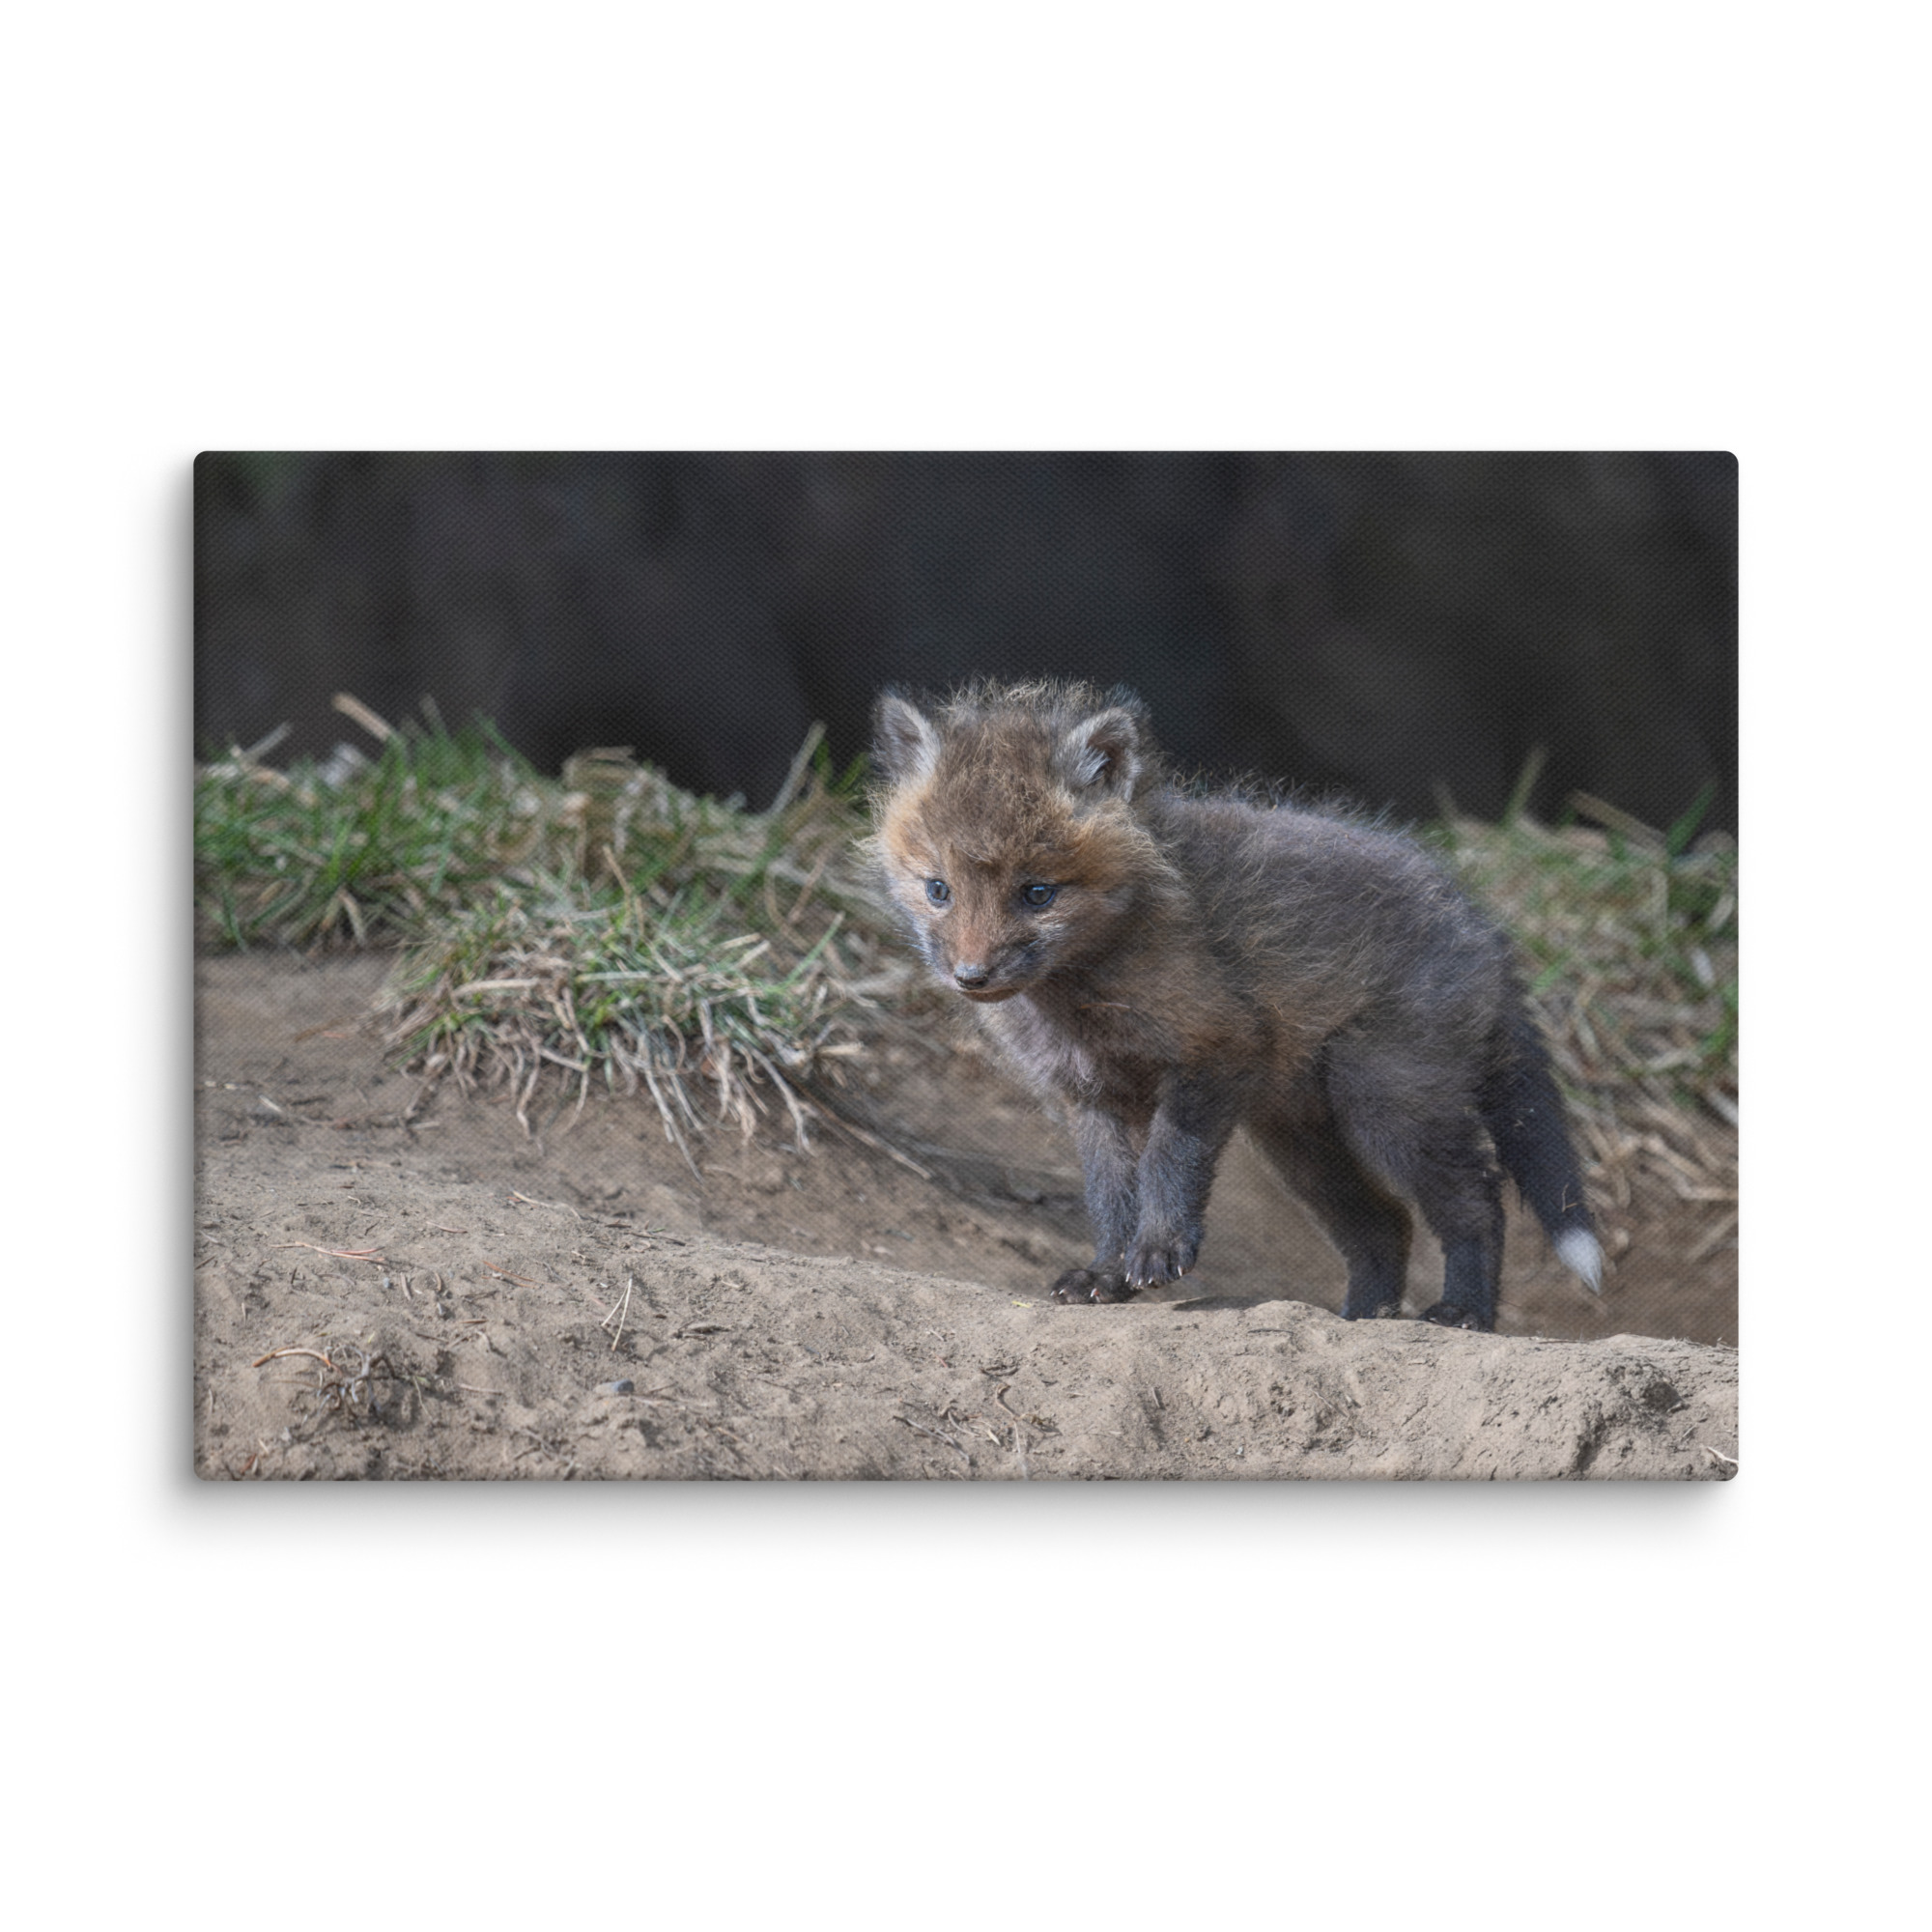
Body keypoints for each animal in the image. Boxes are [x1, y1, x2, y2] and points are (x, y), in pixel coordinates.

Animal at [867, 679, 1603, 1331]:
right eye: (938, 889)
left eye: (1037, 893)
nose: (971, 976)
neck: (1081, 998)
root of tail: (1482, 925)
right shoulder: (1091, 1096)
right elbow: (1109, 1196)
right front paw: (1106, 1274)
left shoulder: (1216, 1047)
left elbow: (1168, 1161)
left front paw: (1159, 1250)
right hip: (1301, 1140)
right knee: (1385, 1225)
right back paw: (1363, 1317)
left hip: (1387, 1103)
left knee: (1477, 1201)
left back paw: (1464, 1312)